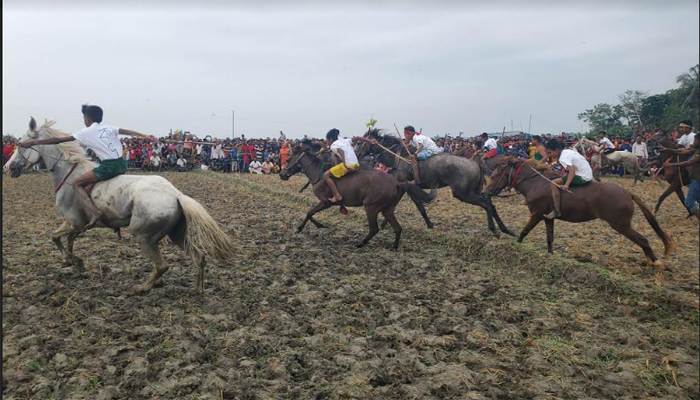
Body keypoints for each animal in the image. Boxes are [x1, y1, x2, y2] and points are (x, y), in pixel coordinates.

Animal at [7, 119, 238, 294]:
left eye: (21, 144)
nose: (8, 167)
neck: (68, 173)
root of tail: (176, 194)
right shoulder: (78, 225)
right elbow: (68, 240)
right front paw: (72, 262)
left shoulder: (73, 221)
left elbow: (55, 237)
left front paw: (75, 261)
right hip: (177, 234)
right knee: (199, 257)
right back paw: (198, 290)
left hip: (144, 236)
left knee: (162, 265)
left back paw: (142, 287)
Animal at [278, 144, 432, 250]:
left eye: (289, 159)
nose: (281, 174)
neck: (319, 173)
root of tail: (397, 182)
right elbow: (310, 213)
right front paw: (312, 226)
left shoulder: (325, 202)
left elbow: (309, 212)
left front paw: (305, 227)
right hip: (387, 209)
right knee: (397, 228)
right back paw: (393, 247)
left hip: (371, 207)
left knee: (374, 229)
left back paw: (360, 244)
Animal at [356, 130, 516, 236]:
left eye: (358, 142)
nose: (356, 155)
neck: (399, 157)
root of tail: (475, 163)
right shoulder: (404, 187)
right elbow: (397, 206)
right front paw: (385, 223)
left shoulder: (406, 186)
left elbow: (419, 206)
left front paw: (429, 224)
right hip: (475, 191)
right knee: (490, 204)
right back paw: (504, 229)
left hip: (463, 194)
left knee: (486, 205)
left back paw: (494, 229)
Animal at [484, 157, 676, 268]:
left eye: (493, 176)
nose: (485, 193)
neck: (536, 183)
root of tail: (627, 193)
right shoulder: (547, 218)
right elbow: (550, 238)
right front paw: (550, 257)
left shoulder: (537, 214)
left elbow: (524, 232)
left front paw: (514, 247)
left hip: (621, 225)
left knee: (643, 240)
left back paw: (656, 262)